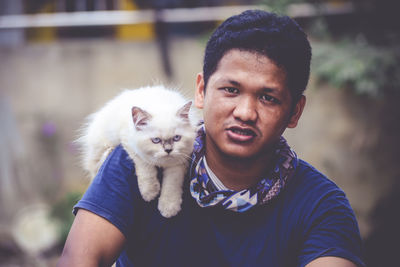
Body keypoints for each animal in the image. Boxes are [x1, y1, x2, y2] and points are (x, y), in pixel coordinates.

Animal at [77, 86, 198, 218]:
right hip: (100, 146)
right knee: (96, 165)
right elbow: (146, 170)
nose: (168, 150)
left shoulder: (179, 163)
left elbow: (172, 184)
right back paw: (109, 152)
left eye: (176, 138)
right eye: (156, 140)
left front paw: (169, 208)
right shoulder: (131, 146)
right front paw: (150, 193)